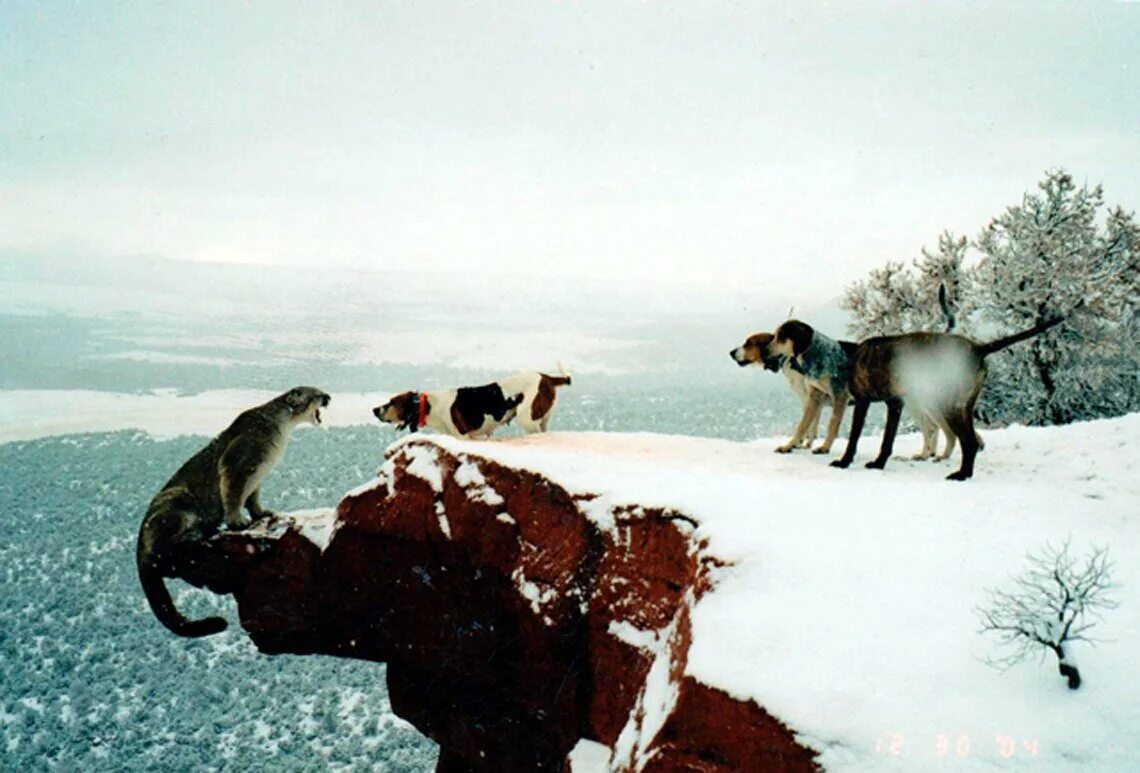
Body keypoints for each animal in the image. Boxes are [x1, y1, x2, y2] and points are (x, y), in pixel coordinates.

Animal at [834, 316, 1062, 481]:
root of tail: (978, 348)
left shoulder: (864, 401)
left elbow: (855, 437)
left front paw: (845, 462)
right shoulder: (895, 403)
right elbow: (887, 440)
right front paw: (879, 464)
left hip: (948, 406)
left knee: (968, 441)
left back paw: (961, 475)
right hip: (962, 406)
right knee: (969, 441)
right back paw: (965, 472)